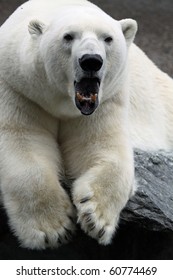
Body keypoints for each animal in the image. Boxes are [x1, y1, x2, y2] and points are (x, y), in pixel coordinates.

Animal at [0, 0, 173, 249]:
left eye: (108, 38)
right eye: (68, 36)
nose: (91, 60)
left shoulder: (108, 99)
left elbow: (103, 146)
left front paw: (95, 217)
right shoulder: (18, 87)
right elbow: (22, 140)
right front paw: (54, 229)